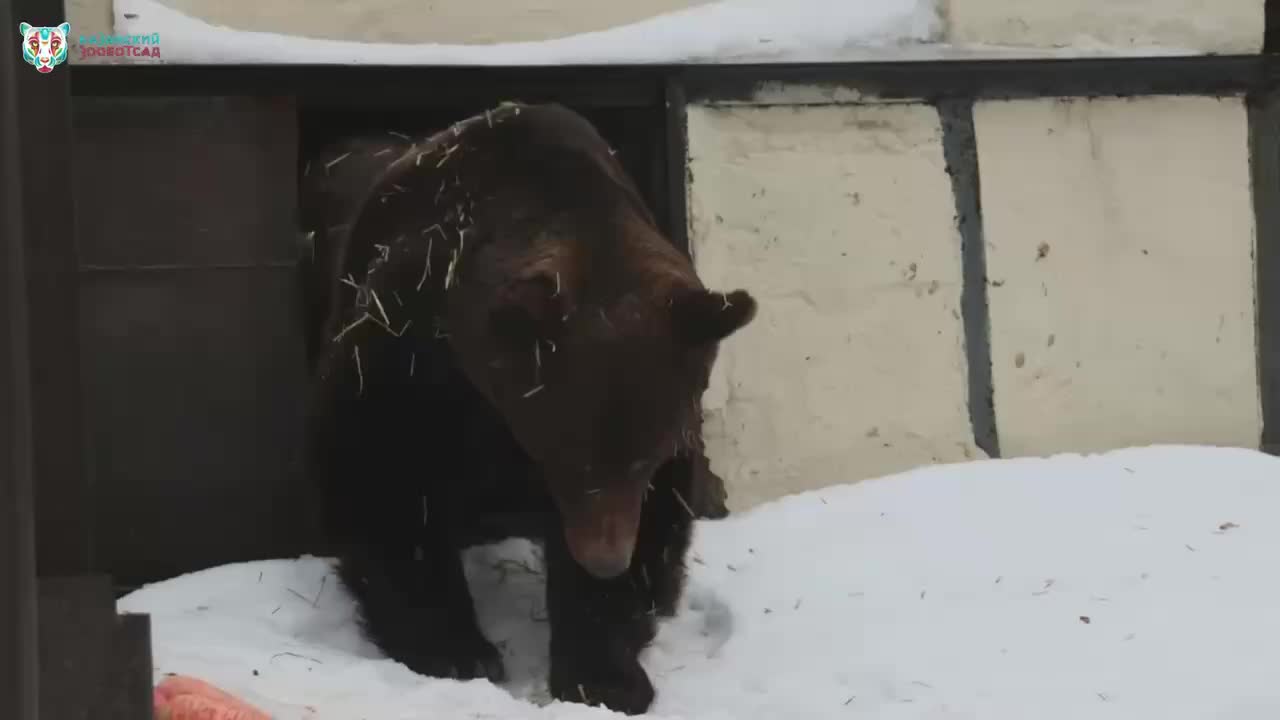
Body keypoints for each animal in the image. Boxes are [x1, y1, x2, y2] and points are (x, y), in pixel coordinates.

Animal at [303, 101, 752, 712]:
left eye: (644, 455)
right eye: (566, 456)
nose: (604, 557)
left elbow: (654, 519)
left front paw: (605, 674)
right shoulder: (407, 346)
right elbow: (381, 476)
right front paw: (455, 650)